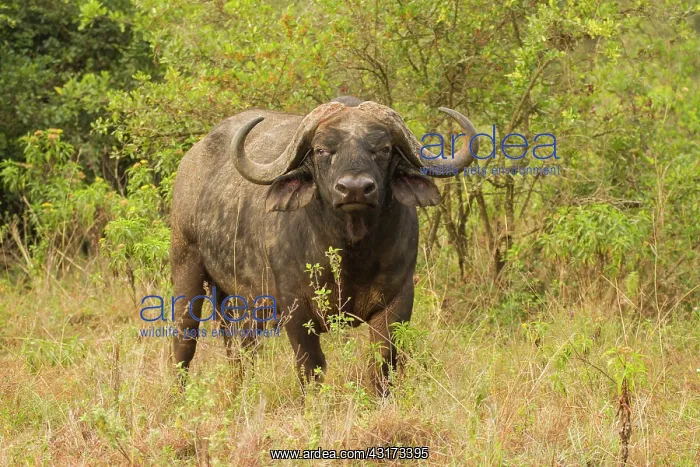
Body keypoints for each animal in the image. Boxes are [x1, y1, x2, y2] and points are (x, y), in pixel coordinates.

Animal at [171, 97, 479, 394]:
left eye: (384, 148)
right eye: (321, 150)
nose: (354, 188)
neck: (351, 254)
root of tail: (191, 160)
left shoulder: (398, 301)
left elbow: (382, 363)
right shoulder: (295, 308)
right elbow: (311, 367)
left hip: (239, 300)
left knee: (240, 348)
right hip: (186, 266)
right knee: (185, 341)